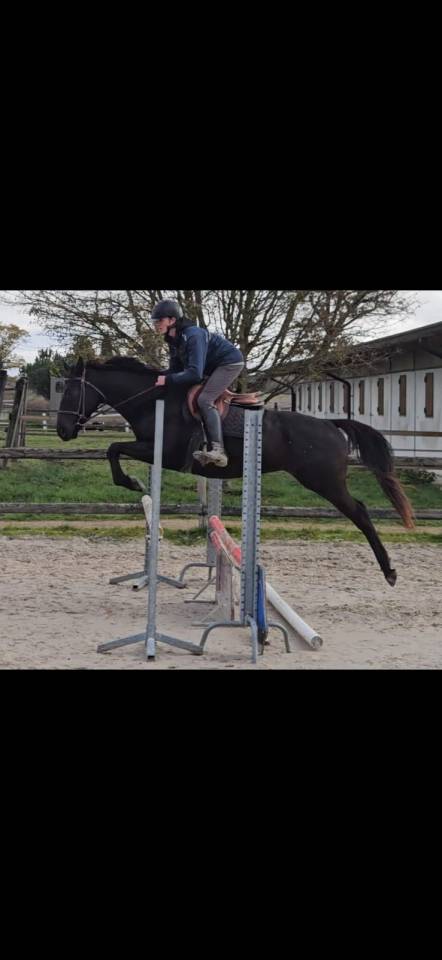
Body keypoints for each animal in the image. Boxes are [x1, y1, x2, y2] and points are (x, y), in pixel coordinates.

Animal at [56, 357, 415, 586]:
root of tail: (330, 425)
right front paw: (131, 482)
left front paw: (129, 481)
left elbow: (113, 448)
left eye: (70, 391)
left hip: (324, 482)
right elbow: (113, 448)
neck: (153, 400)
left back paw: (389, 571)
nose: (62, 430)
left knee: (361, 513)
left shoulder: (163, 451)